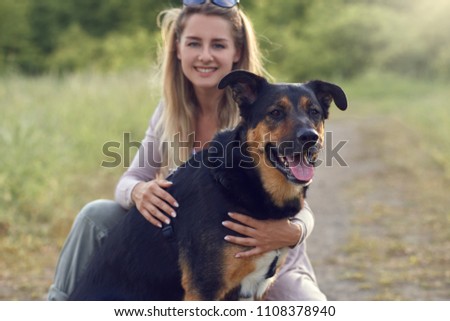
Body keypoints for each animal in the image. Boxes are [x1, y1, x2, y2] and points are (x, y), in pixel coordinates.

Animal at [69, 70, 348, 300]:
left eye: (314, 112)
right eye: (276, 112)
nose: (310, 138)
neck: (244, 180)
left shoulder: (253, 290)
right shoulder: (205, 288)